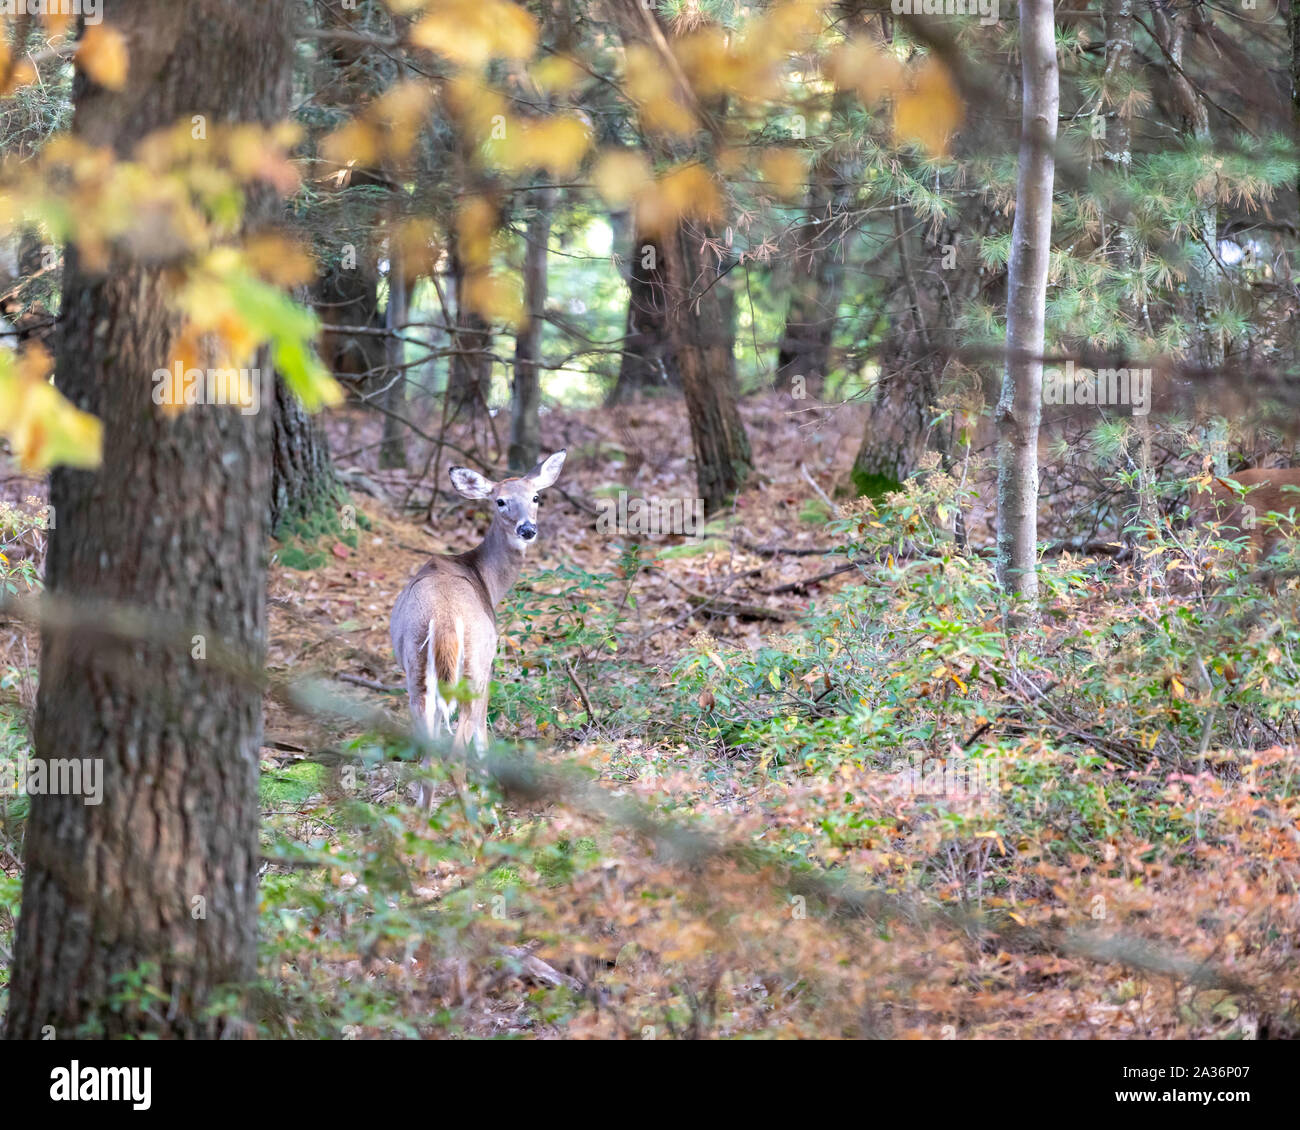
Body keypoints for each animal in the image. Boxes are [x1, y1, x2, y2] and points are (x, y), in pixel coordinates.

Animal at [391, 450, 566, 808]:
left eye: (536, 497)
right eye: (500, 501)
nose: (527, 529)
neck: (485, 578)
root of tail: (444, 618)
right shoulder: (490, 665)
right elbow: (484, 736)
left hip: (416, 672)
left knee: (429, 758)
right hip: (473, 664)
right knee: (456, 757)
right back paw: (480, 816)